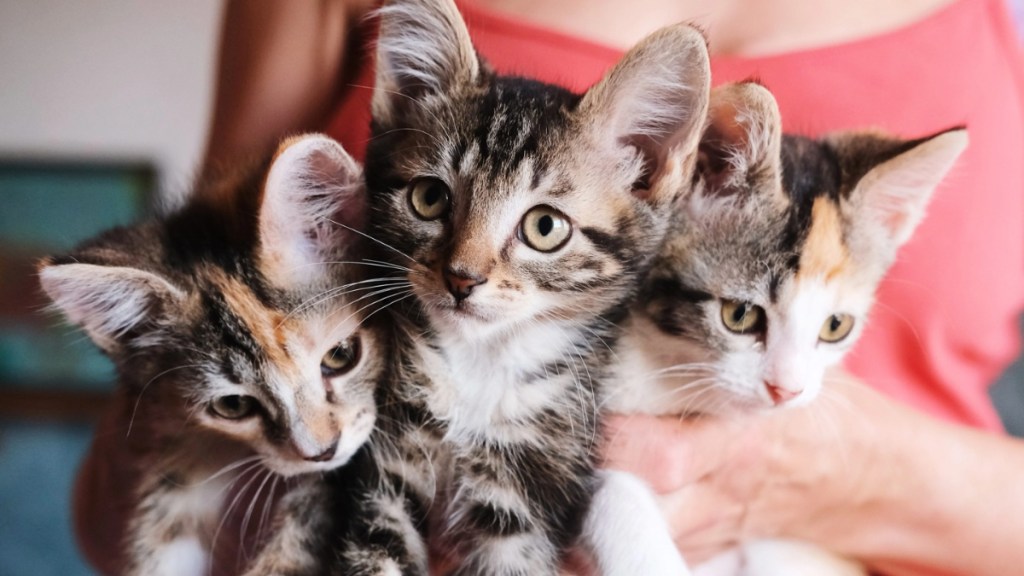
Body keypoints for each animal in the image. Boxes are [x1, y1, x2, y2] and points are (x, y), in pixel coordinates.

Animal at [362, 0, 712, 569]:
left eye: (544, 227)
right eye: (429, 199)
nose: (461, 278)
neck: (482, 363)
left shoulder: (529, 485)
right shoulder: (391, 458)